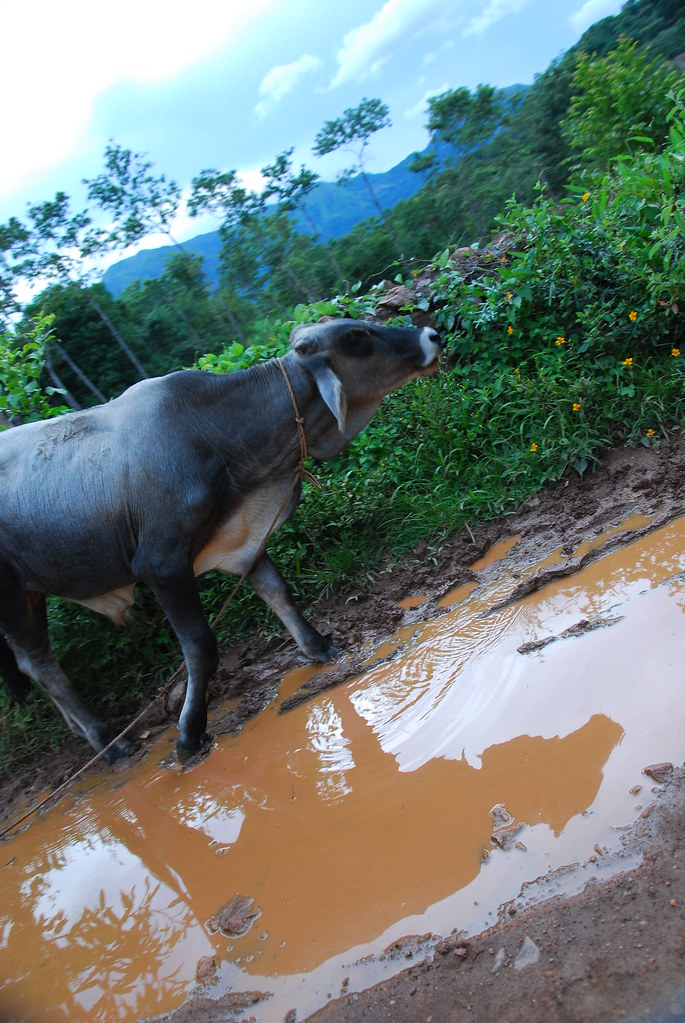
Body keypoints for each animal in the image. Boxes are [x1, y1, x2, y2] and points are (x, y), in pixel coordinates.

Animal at [0, 318, 441, 762]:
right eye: (356, 337)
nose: (431, 335)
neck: (217, 431)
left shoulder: (244, 540)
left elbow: (279, 593)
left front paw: (320, 648)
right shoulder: (161, 565)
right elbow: (200, 647)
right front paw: (189, 735)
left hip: (31, 594)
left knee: (32, 664)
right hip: (12, 596)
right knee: (42, 667)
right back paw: (110, 741)